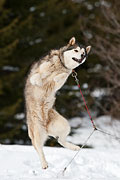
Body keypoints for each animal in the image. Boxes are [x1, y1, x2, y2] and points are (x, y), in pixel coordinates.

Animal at [24, 37, 90, 169]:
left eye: (84, 53)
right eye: (76, 50)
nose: (81, 56)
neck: (61, 64)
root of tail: (46, 127)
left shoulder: (63, 77)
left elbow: (62, 77)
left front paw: (56, 77)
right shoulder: (40, 69)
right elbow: (40, 73)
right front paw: (38, 80)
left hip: (64, 124)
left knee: (60, 140)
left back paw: (73, 147)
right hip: (37, 130)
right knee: (39, 148)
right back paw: (44, 163)